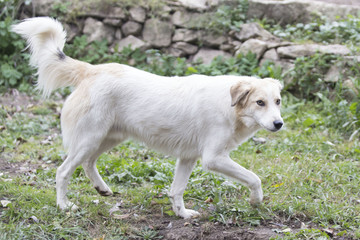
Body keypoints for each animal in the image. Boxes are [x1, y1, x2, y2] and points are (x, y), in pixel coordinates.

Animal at [11, 17, 284, 219]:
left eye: (278, 102)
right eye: (260, 102)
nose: (279, 124)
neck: (229, 105)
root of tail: (93, 69)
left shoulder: (188, 158)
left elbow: (177, 190)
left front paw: (182, 215)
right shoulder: (213, 159)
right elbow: (254, 178)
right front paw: (256, 200)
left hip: (107, 138)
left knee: (88, 163)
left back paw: (102, 188)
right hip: (90, 139)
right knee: (63, 171)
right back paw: (64, 206)